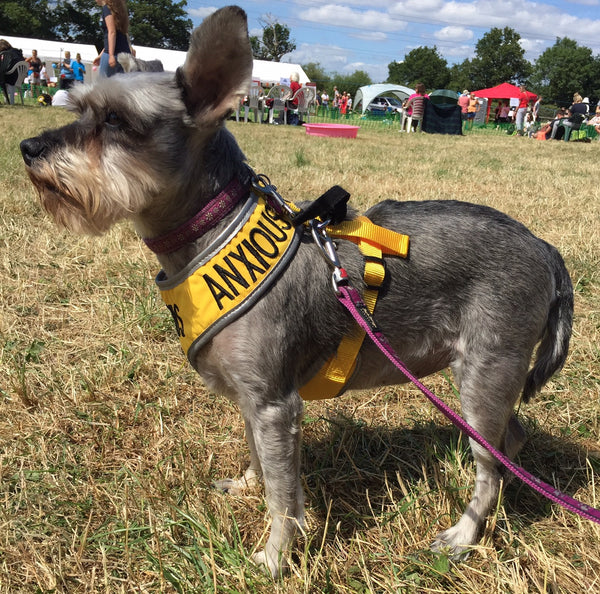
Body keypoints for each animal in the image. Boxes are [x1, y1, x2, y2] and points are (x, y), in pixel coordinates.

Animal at [18, 5, 572, 580]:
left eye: (115, 121)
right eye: (81, 106)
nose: (29, 148)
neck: (213, 233)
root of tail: (546, 249)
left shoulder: (275, 405)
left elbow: (283, 495)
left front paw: (274, 557)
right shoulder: (252, 398)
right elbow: (260, 461)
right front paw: (246, 484)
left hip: (484, 377)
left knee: (491, 464)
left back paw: (465, 533)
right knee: (511, 442)